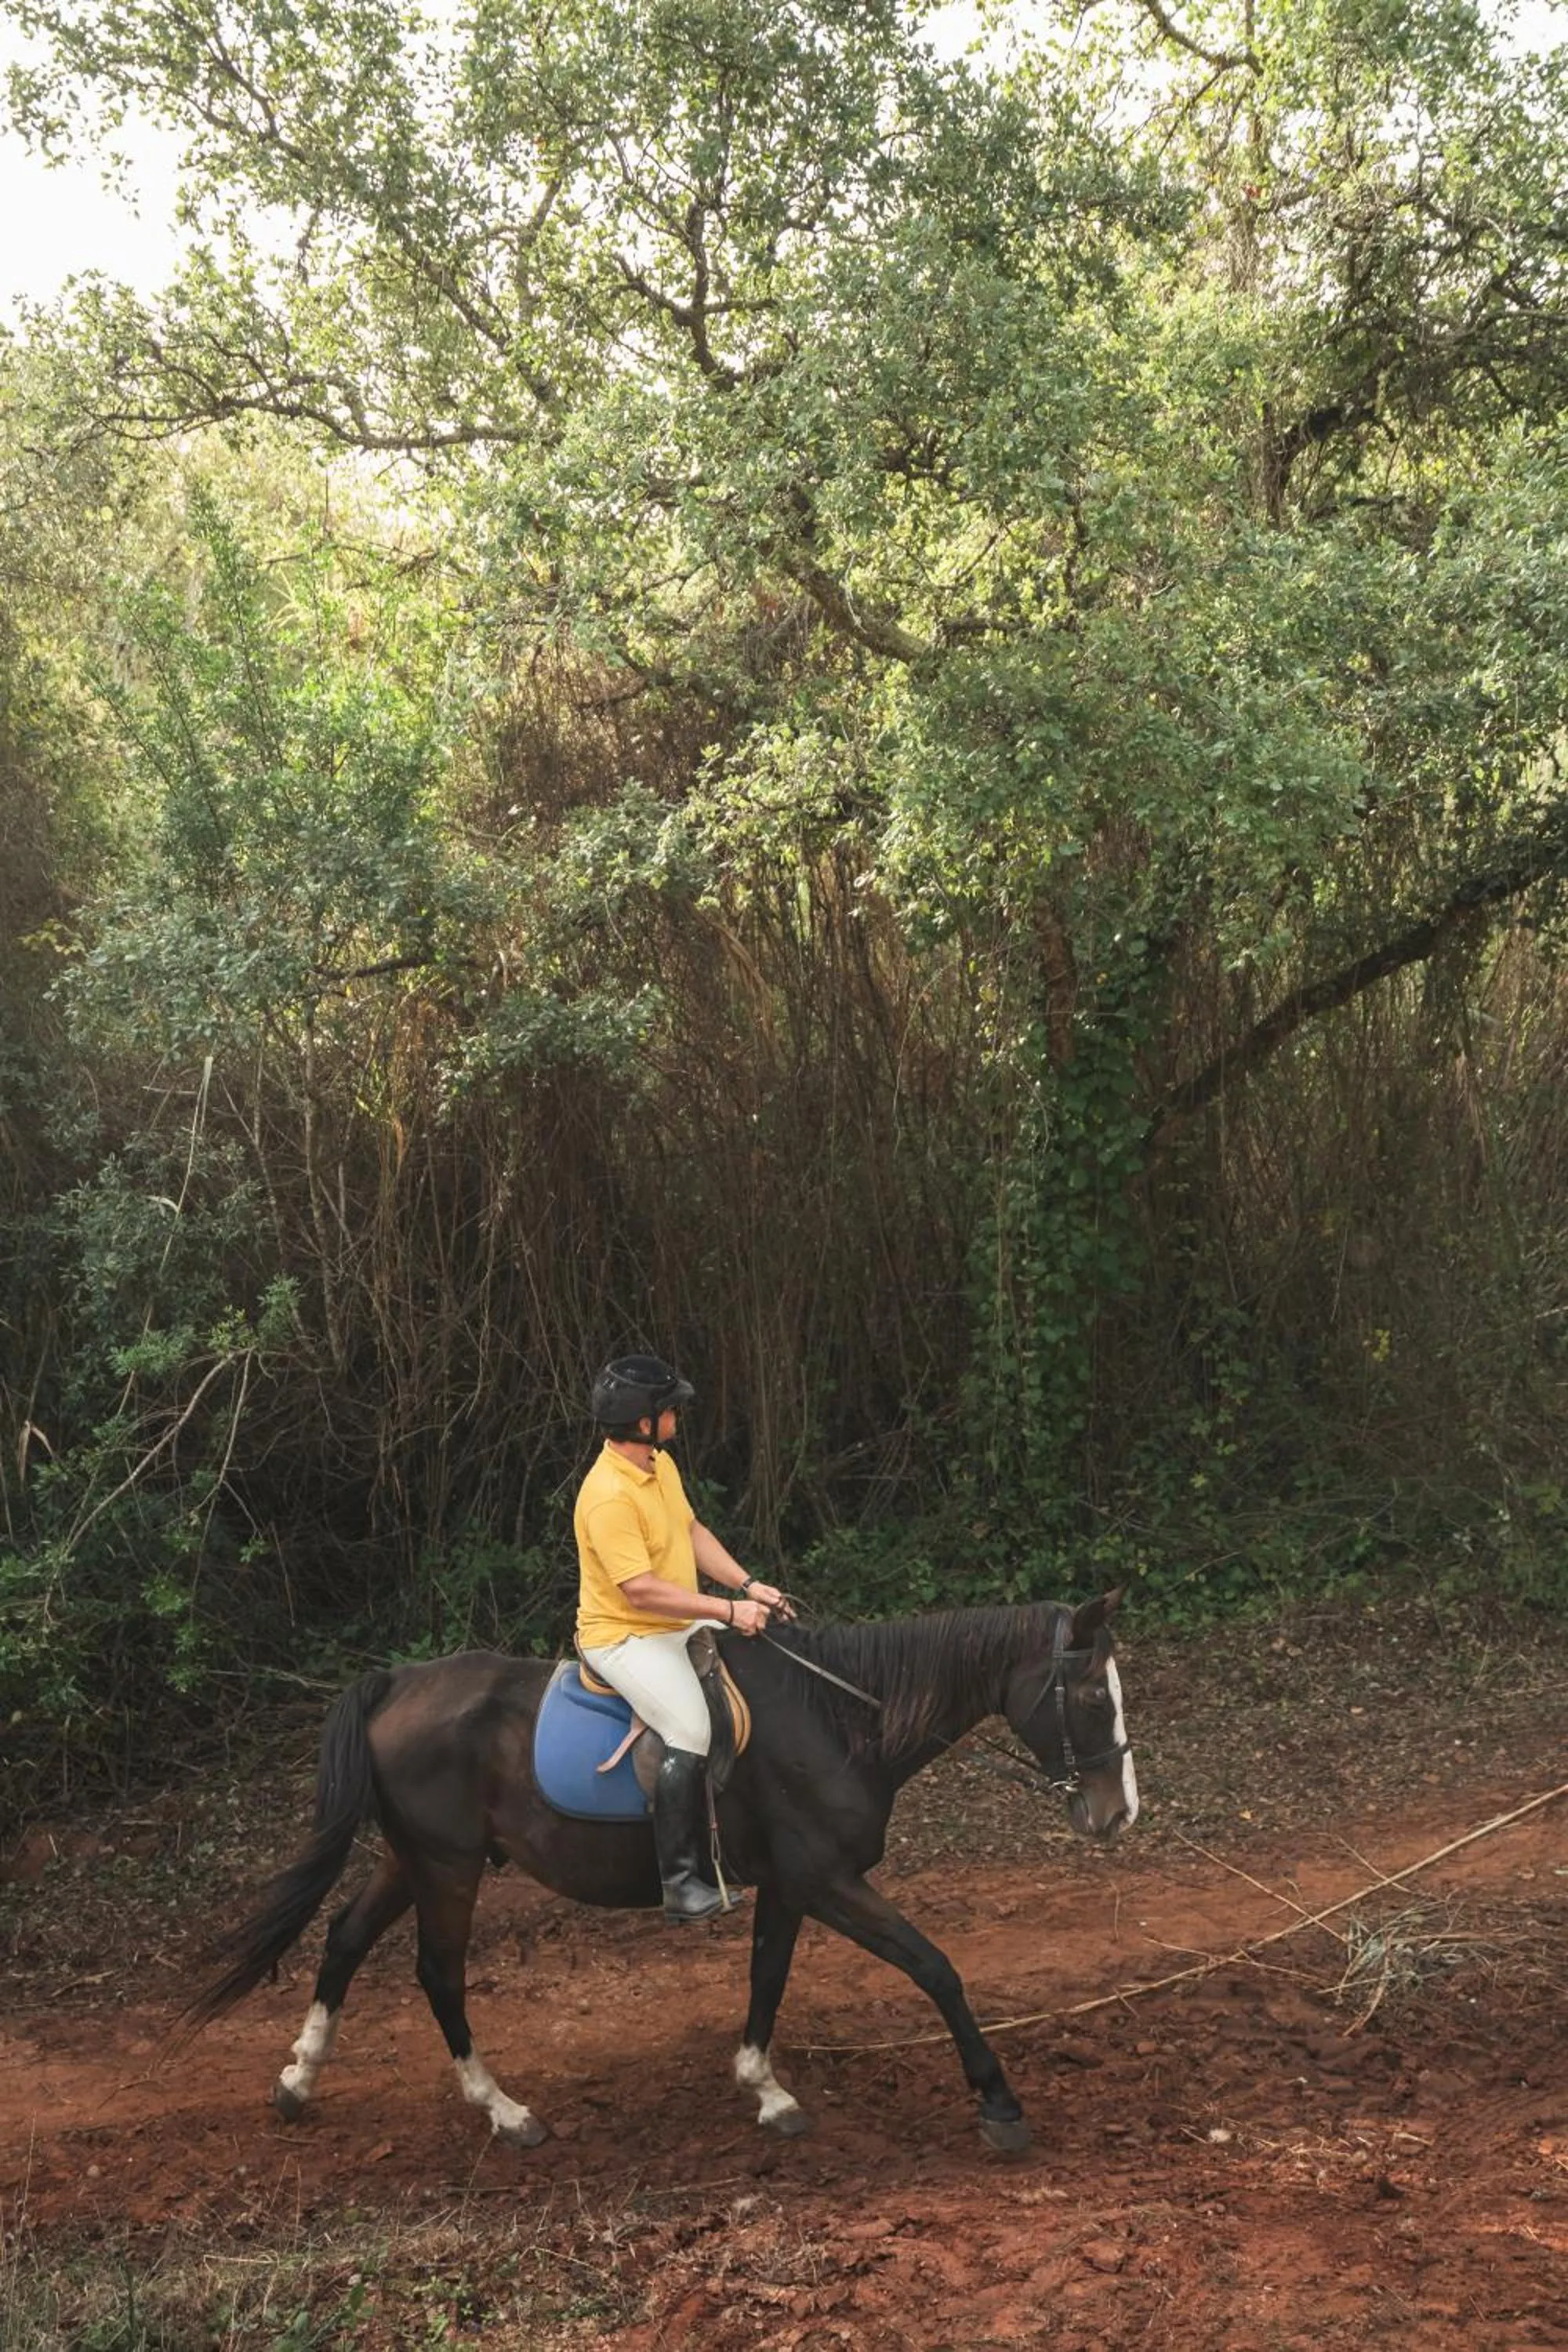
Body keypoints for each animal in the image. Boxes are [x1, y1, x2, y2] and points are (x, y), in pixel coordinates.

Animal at [185, 1591, 1137, 2154]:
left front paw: (764, 2090)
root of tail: (394, 1685)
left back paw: (299, 2079)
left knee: (345, 1940)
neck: (836, 1717)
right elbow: (935, 1968)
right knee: (438, 1972)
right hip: (448, 1868)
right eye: (1094, 1698)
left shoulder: (790, 1885)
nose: (1117, 1812)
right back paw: (504, 2110)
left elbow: (767, 1976)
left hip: (411, 1858)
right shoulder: (829, 1881)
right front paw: (999, 2104)